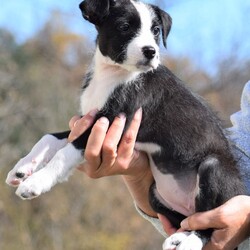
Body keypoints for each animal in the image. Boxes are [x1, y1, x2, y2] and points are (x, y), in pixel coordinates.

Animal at [5, 0, 244, 249]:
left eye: (156, 30)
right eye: (124, 26)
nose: (151, 51)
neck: (113, 74)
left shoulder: (108, 122)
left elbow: (64, 153)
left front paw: (34, 183)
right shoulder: (87, 120)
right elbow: (50, 137)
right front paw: (22, 168)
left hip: (212, 167)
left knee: (207, 223)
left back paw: (191, 242)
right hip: (154, 195)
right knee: (190, 219)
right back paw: (180, 237)